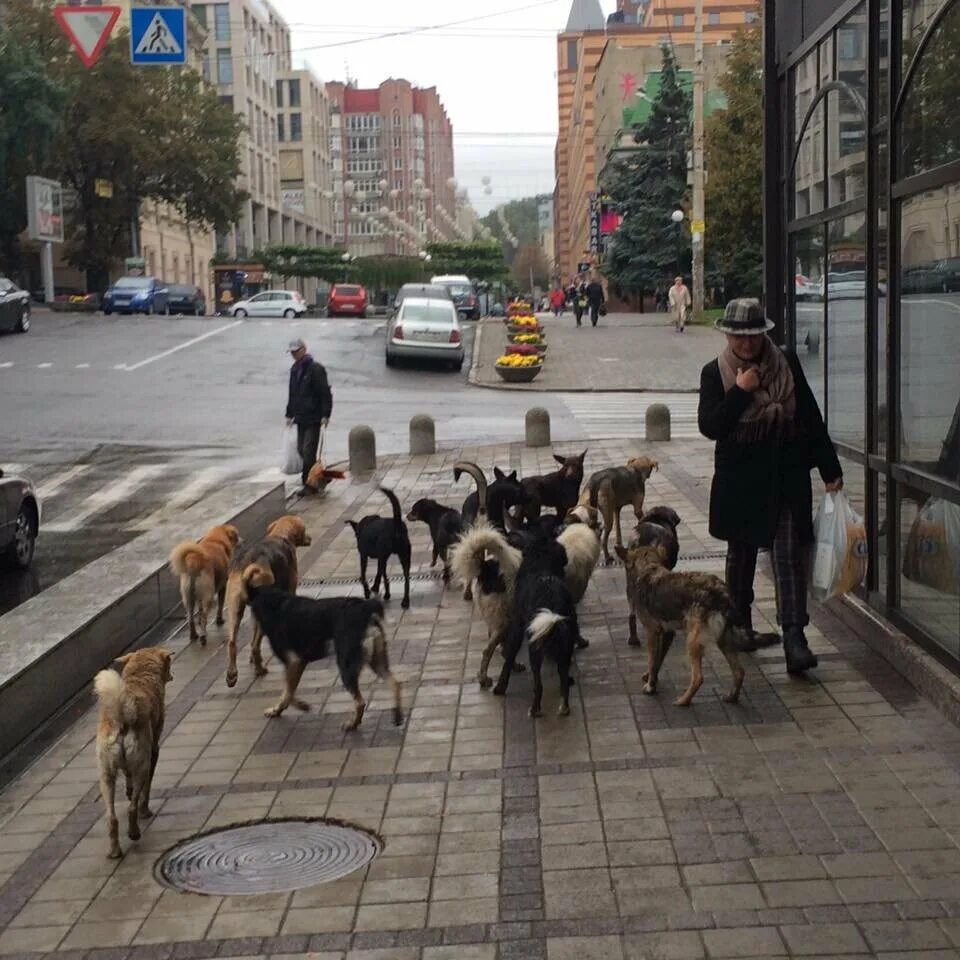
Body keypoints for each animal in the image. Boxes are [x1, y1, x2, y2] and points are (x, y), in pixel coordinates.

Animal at [94, 648, 173, 860]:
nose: (172, 675)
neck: (140, 676)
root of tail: (122, 717)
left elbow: (127, 775)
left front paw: (128, 791)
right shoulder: (153, 752)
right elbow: (146, 789)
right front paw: (145, 810)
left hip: (106, 775)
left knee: (112, 818)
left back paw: (115, 850)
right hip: (142, 764)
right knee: (132, 808)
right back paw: (134, 831)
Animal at [222, 512, 310, 688]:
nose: (310, 538)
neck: (280, 534)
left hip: (235, 609)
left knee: (233, 643)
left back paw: (232, 675)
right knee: (256, 645)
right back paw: (259, 669)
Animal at [244, 564, 404, 728]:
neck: (272, 600)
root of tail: (366, 607)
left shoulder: (294, 662)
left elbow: (288, 692)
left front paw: (292, 707)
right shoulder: (299, 662)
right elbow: (290, 690)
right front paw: (287, 707)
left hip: (346, 665)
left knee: (360, 702)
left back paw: (353, 724)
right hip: (376, 660)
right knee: (395, 683)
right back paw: (397, 715)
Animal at [496, 536, 576, 716]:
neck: (542, 567)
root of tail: (552, 601)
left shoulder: (517, 626)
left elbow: (509, 657)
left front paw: (500, 687)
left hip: (535, 645)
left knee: (538, 684)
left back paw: (534, 709)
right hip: (566, 639)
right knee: (563, 679)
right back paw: (564, 707)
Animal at [620, 544, 748, 708]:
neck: (649, 567)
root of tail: (721, 593)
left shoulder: (652, 632)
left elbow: (652, 661)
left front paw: (650, 687)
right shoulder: (668, 633)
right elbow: (658, 661)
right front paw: (651, 679)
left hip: (692, 642)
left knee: (698, 677)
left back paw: (683, 700)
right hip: (723, 640)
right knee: (739, 671)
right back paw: (732, 697)